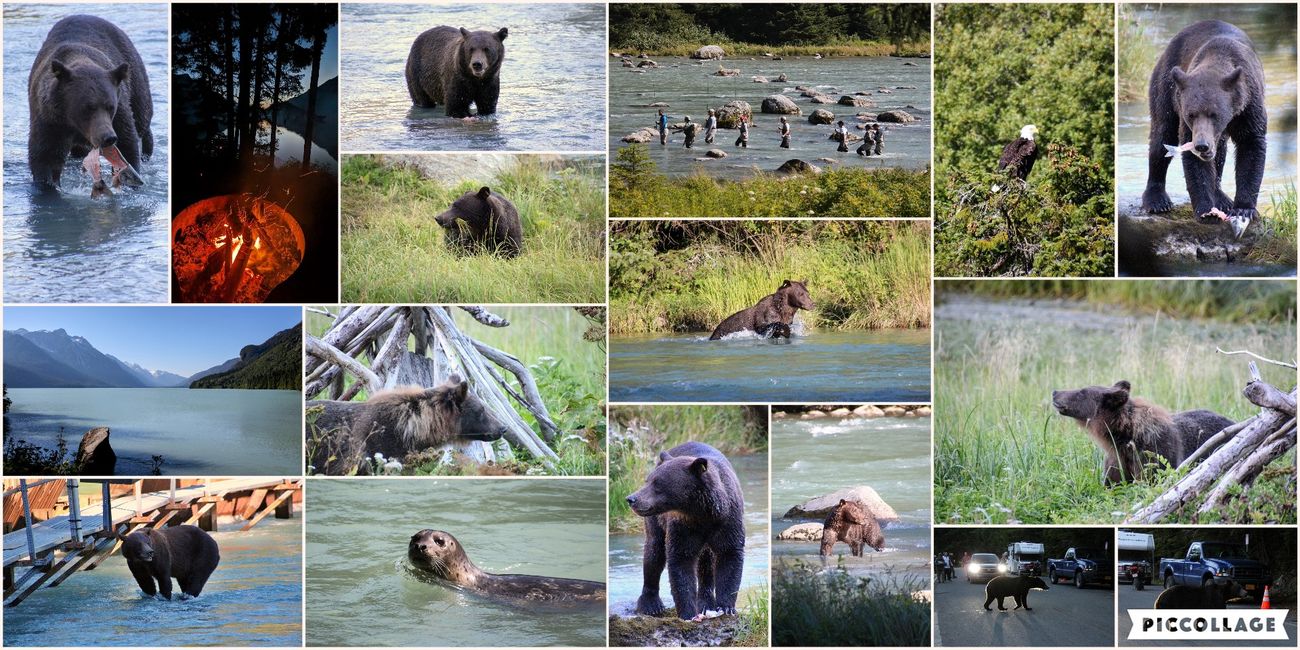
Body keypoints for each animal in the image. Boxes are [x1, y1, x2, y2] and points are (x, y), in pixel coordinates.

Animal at [27, 13, 152, 189]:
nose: (108, 137)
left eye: (110, 106)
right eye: (88, 107)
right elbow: (46, 155)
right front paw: (49, 184)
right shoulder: (49, 118)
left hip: (134, 74)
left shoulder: (119, 111)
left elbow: (127, 142)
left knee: (141, 117)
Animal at [624, 441, 748, 618]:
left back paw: (705, 602)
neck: (702, 513)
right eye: (647, 480)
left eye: (657, 484)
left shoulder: (728, 521)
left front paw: (726, 607)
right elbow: (680, 559)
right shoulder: (683, 526)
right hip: (656, 522)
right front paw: (688, 613)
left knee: (706, 562)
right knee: (654, 552)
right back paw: (650, 604)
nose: (631, 499)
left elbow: (729, 555)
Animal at [1050, 379, 1232, 486]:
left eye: (1082, 392)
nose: (1055, 392)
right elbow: (1113, 483)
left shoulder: (1153, 453)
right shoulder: (1116, 458)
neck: (1122, 437)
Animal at [1144, 20, 1263, 231]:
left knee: (1220, 151)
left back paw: (1222, 198)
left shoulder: (1249, 106)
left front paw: (1243, 209)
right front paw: (1207, 211)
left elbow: (1251, 145)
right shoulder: (1186, 116)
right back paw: (1157, 199)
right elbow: (1194, 163)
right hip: (1165, 84)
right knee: (1162, 135)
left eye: (1214, 114)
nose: (1202, 145)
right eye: (1191, 115)